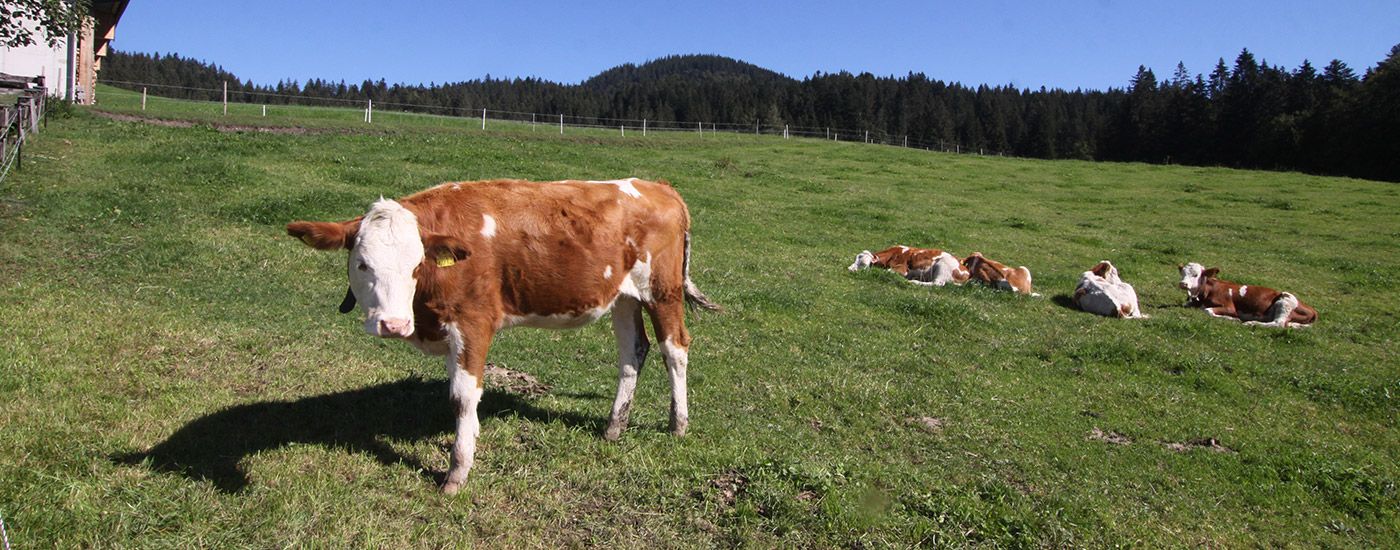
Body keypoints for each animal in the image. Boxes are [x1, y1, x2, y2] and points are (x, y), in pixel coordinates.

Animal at [285, 177, 722, 492]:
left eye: (416, 264)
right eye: (361, 264)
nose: (393, 324)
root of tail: (657, 185)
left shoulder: (473, 322)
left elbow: (462, 396)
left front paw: (457, 473)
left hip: (662, 290)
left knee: (674, 348)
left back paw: (678, 424)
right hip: (624, 296)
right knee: (633, 351)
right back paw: (614, 427)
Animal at [1176, 261, 1316, 326]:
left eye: (1196, 275)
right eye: (1182, 273)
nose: (1183, 283)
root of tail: (1313, 309)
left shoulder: (1229, 307)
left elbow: (1207, 311)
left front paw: (1232, 318)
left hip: (1284, 301)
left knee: (1279, 323)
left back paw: (1251, 323)